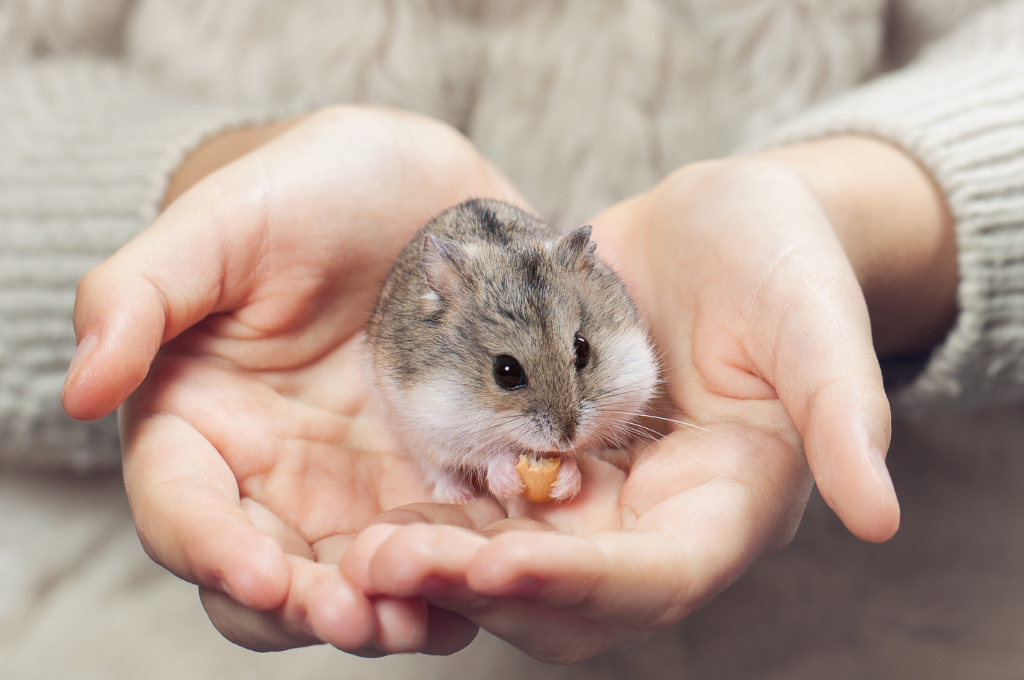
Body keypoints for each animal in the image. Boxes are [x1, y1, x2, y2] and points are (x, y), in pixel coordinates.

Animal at [366, 199, 655, 501]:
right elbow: (484, 456)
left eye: (583, 348)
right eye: (506, 372)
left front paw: (566, 478)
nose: (565, 440)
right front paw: (506, 477)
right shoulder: (431, 424)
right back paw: (458, 496)